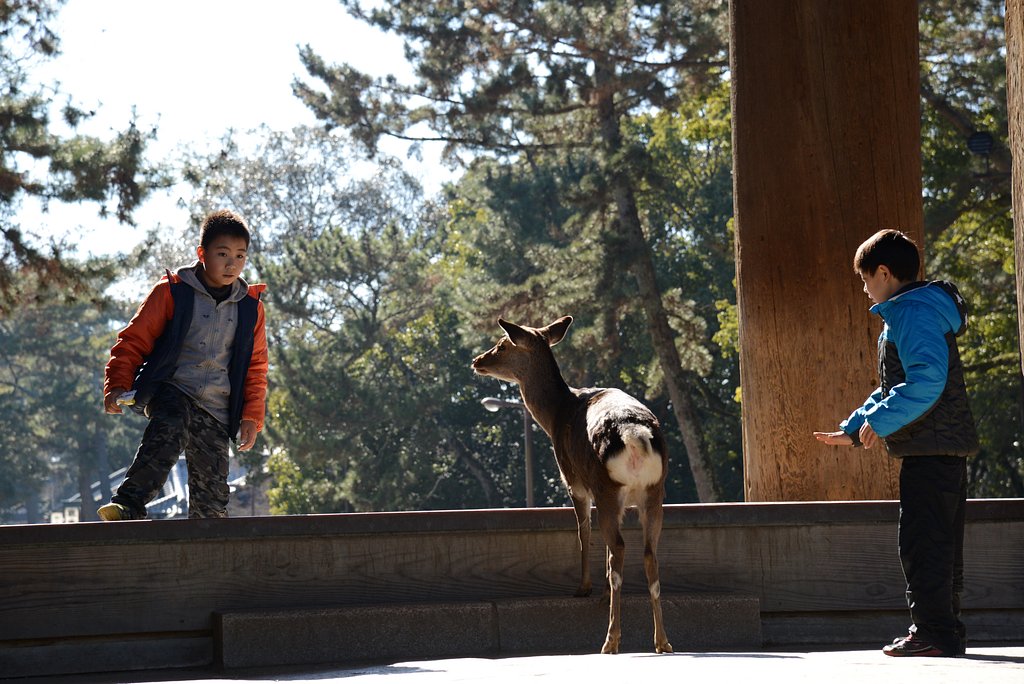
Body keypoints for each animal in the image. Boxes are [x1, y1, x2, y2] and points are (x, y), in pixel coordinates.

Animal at [471, 315, 672, 655]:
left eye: (501, 345)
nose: (477, 361)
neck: (555, 414)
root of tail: (635, 436)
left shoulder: (573, 481)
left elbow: (583, 532)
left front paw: (584, 588)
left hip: (606, 486)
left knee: (618, 549)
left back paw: (611, 640)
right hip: (655, 491)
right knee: (649, 555)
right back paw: (662, 641)